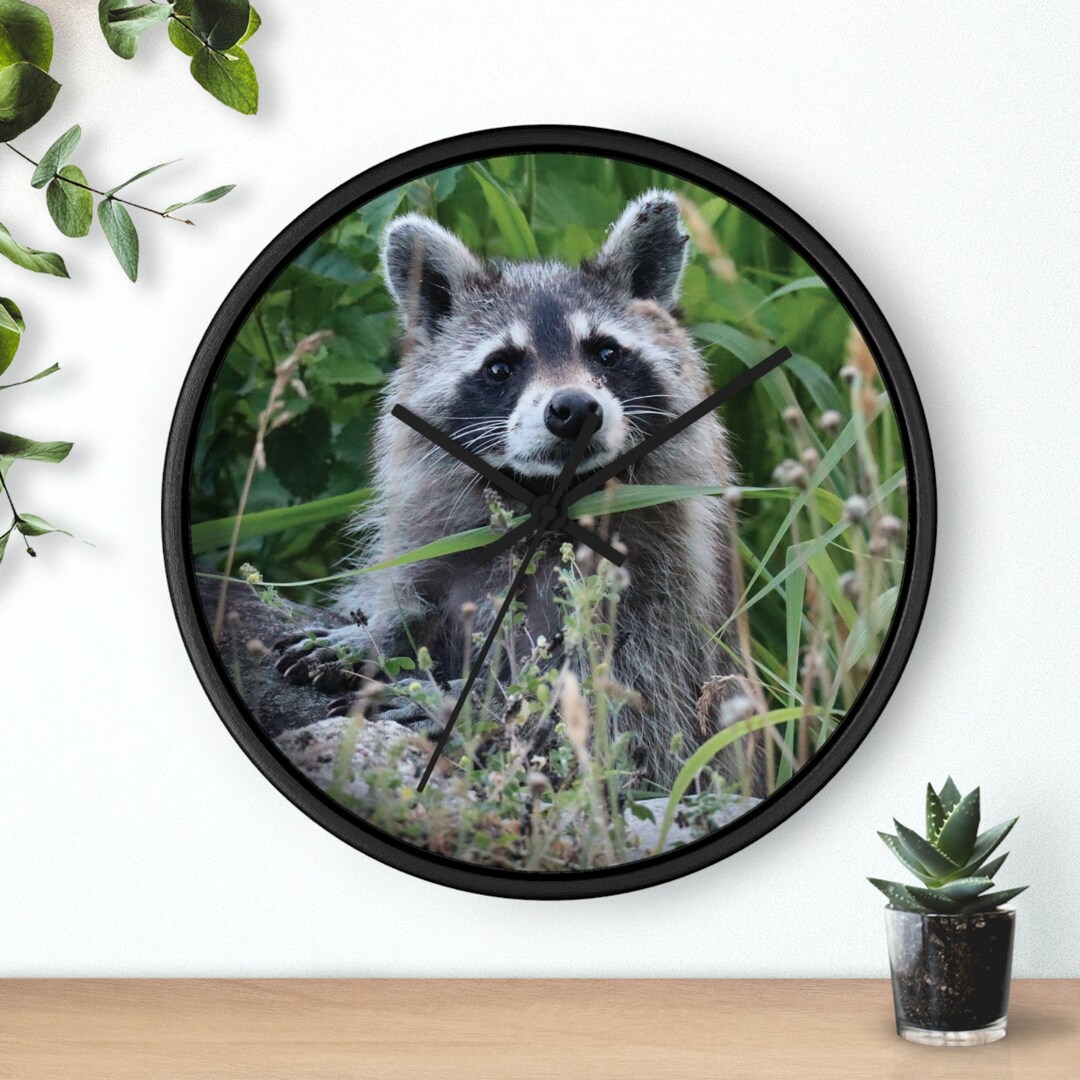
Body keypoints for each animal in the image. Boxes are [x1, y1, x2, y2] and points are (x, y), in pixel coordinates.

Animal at [275, 191, 744, 788]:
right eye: (501, 367)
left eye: (606, 353)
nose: (575, 410)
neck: (543, 498)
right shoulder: (442, 534)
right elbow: (415, 597)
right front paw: (383, 633)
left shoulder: (663, 592)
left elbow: (625, 714)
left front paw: (468, 706)